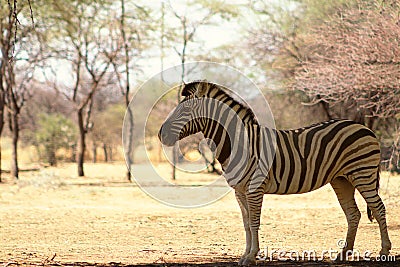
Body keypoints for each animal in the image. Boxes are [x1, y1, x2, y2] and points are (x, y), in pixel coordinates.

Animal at [158, 81, 392, 266]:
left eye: (185, 110)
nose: (161, 135)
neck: (241, 143)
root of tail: (364, 128)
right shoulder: (239, 191)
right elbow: (246, 224)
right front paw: (244, 256)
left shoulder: (254, 188)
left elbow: (254, 222)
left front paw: (252, 256)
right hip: (342, 179)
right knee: (354, 214)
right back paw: (343, 254)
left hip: (363, 173)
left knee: (378, 208)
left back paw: (384, 251)